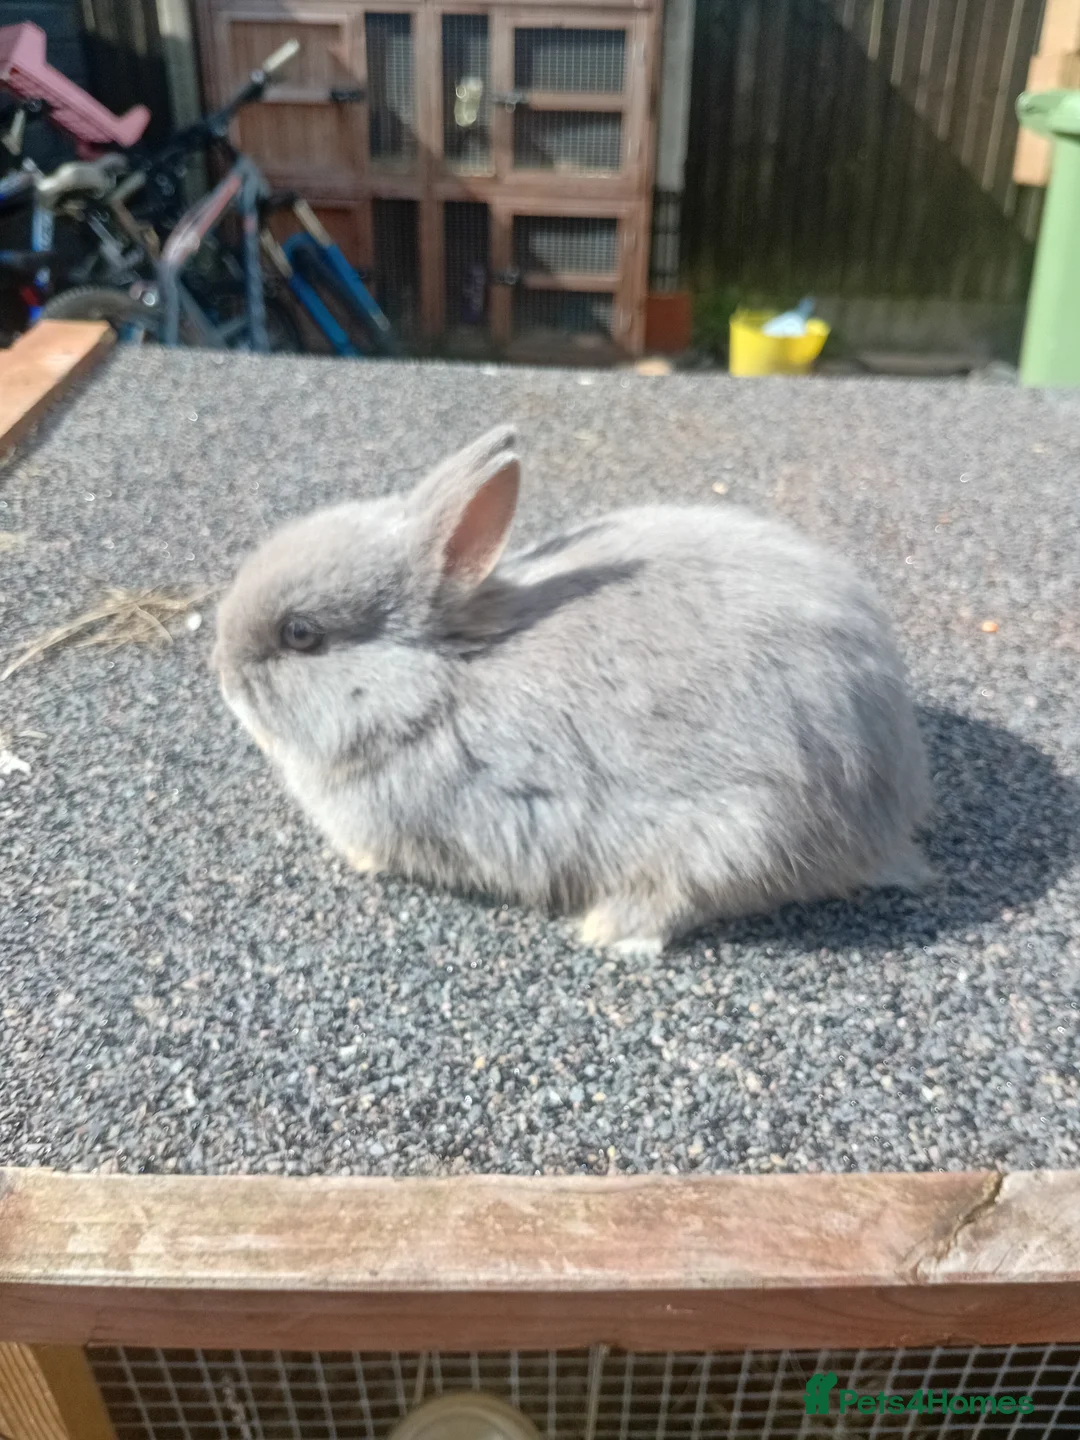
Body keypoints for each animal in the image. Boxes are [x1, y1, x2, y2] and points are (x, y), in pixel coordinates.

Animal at [212, 424, 931, 955]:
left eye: (301, 634)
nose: (221, 675)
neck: (438, 682)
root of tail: (886, 807)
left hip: (741, 830)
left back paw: (606, 930)